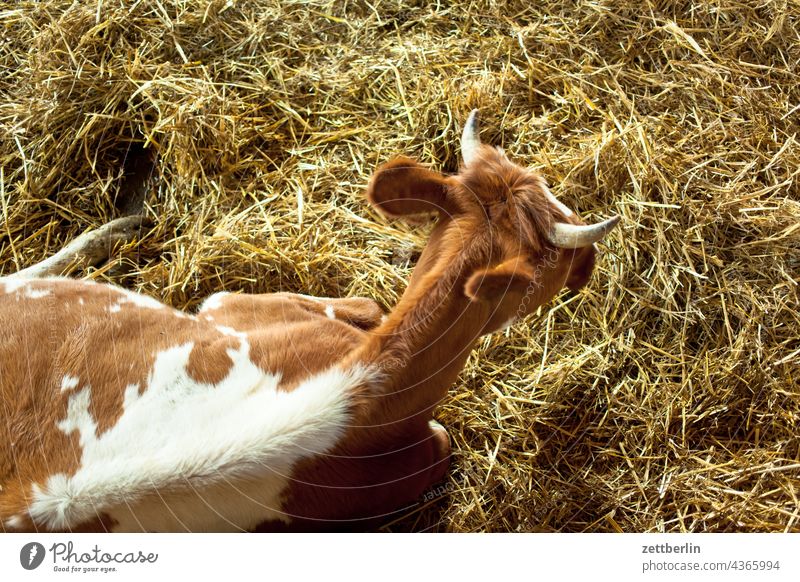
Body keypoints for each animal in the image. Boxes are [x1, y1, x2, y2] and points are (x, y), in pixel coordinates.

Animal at [0, 110, 620, 532]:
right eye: (560, 245)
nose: (588, 266)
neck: (367, 394)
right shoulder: (234, 309)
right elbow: (371, 306)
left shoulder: (226, 309)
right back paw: (120, 224)